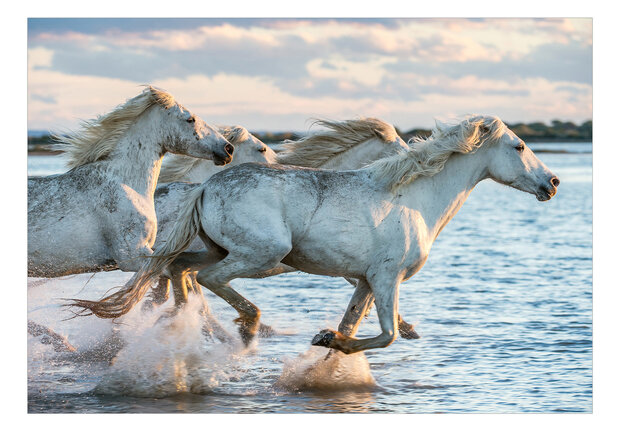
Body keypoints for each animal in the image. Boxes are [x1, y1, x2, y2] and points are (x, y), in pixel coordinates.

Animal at [70, 114, 560, 354]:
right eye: (519, 146)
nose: (552, 183)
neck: (413, 199)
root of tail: (207, 185)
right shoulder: (386, 278)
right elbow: (387, 334)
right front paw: (330, 340)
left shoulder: (364, 280)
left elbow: (357, 323)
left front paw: (333, 344)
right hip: (261, 254)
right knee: (205, 280)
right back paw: (247, 326)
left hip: (215, 249)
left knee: (177, 270)